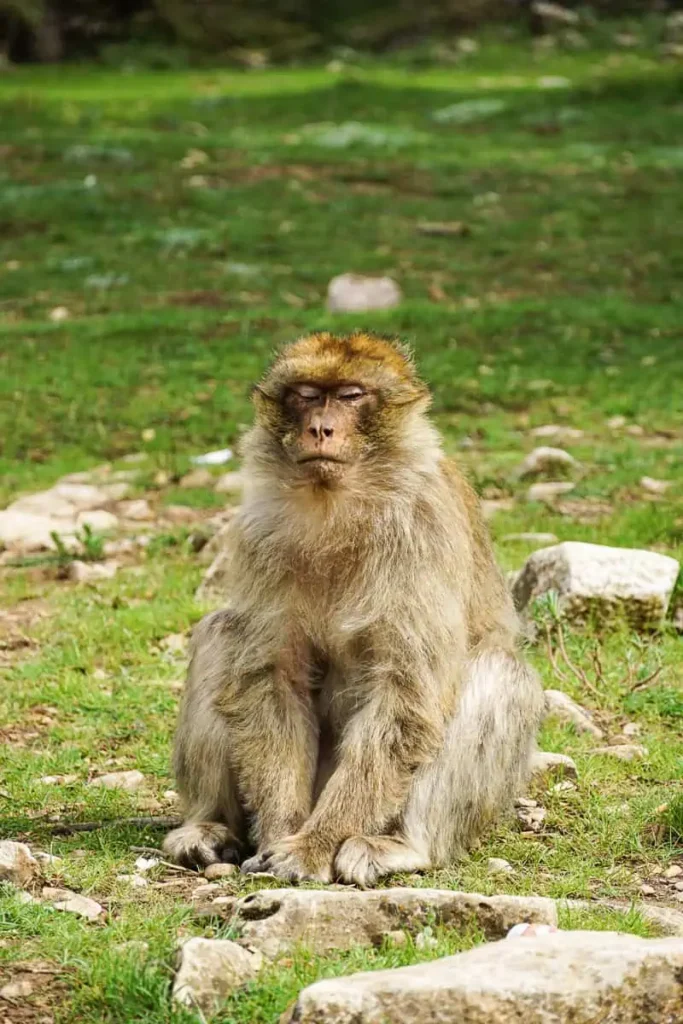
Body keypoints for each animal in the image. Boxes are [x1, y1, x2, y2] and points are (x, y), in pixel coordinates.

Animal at [162, 330, 544, 886]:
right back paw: (210, 826)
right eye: (305, 394)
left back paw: (407, 845)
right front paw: (281, 833)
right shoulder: (258, 531)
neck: (337, 504)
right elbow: (273, 676)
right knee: (220, 634)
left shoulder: (422, 527)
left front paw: (313, 846)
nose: (320, 428)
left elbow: (404, 697)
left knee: (499, 670)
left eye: (349, 396)